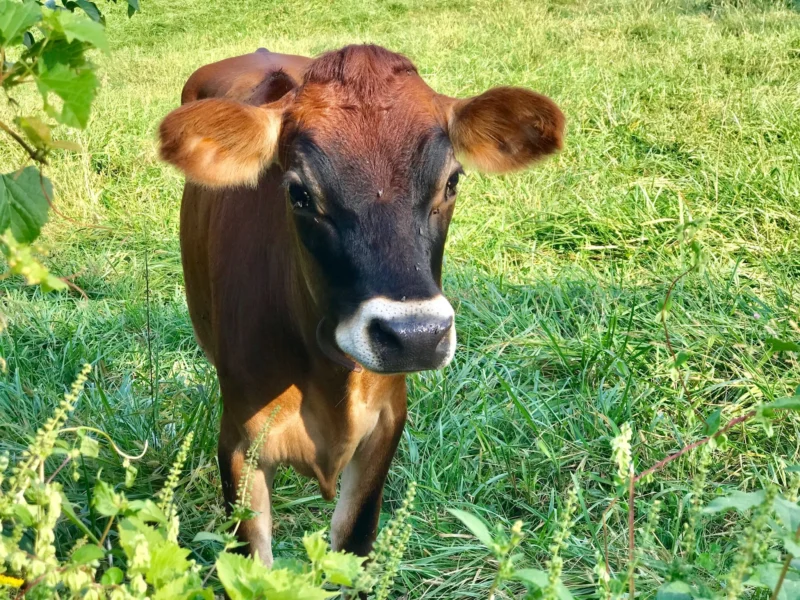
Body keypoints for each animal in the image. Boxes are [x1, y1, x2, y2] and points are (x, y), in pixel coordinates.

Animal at [158, 44, 564, 565]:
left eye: (452, 182)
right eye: (299, 193)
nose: (416, 336)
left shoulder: (387, 424)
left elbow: (353, 541)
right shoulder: (238, 441)